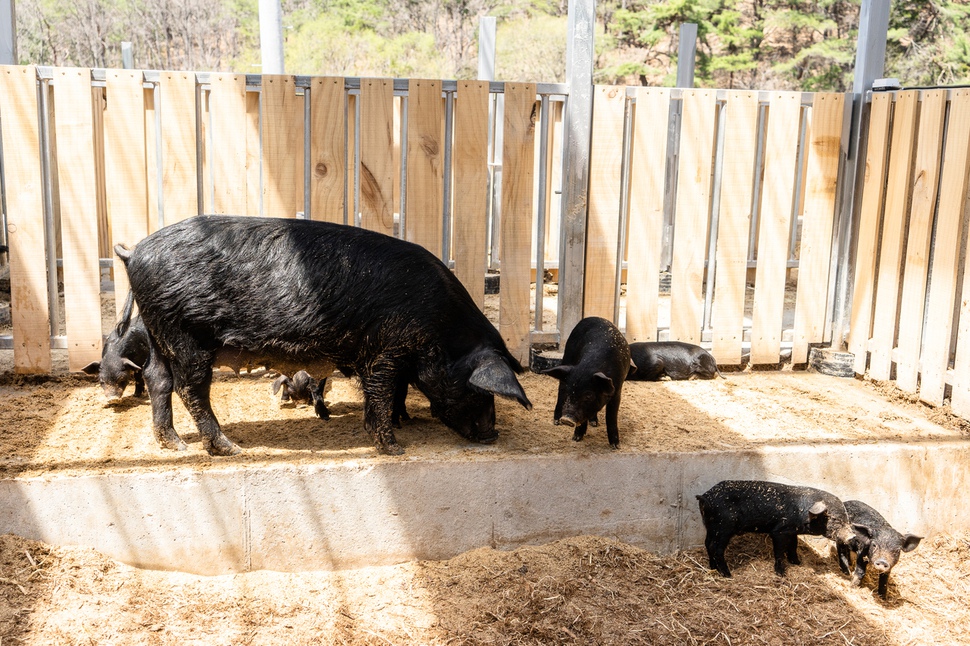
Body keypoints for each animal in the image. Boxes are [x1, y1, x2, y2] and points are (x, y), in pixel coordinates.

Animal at [119, 216, 536, 456]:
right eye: (477, 389)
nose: (492, 435)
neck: (441, 328)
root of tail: (134, 251)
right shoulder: (385, 350)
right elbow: (381, 393)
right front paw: (394, 448)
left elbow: (394, 393)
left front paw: (402, 425)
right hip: (185, 334)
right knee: (189, 389)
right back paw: (229, 449)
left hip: (159, 331)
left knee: (157, 379)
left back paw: (174, 446)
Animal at [540, 318, 632, 450]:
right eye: (569, 392)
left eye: (588, 395)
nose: (567, 419)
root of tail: (593, 317)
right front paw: (576, 438)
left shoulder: (617, 390)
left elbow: (611, 416)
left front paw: (616, 446)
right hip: (567, 355)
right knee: (560, 389)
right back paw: (556, 421)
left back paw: (594, 423)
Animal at [700, 480, 860, 584]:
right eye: (836, 520)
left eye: (847, 519)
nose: (853, 536)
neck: (802, 515)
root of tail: (704, 497)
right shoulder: (779, 531)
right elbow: (779, 551)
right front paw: (781, 574)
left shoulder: (792, 531)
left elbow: (793, 546)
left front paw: (797, 563)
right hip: (723, 527)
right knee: (716, 549)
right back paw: (728, 575)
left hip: (710, 526)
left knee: (708, 544)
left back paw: (712, 568)